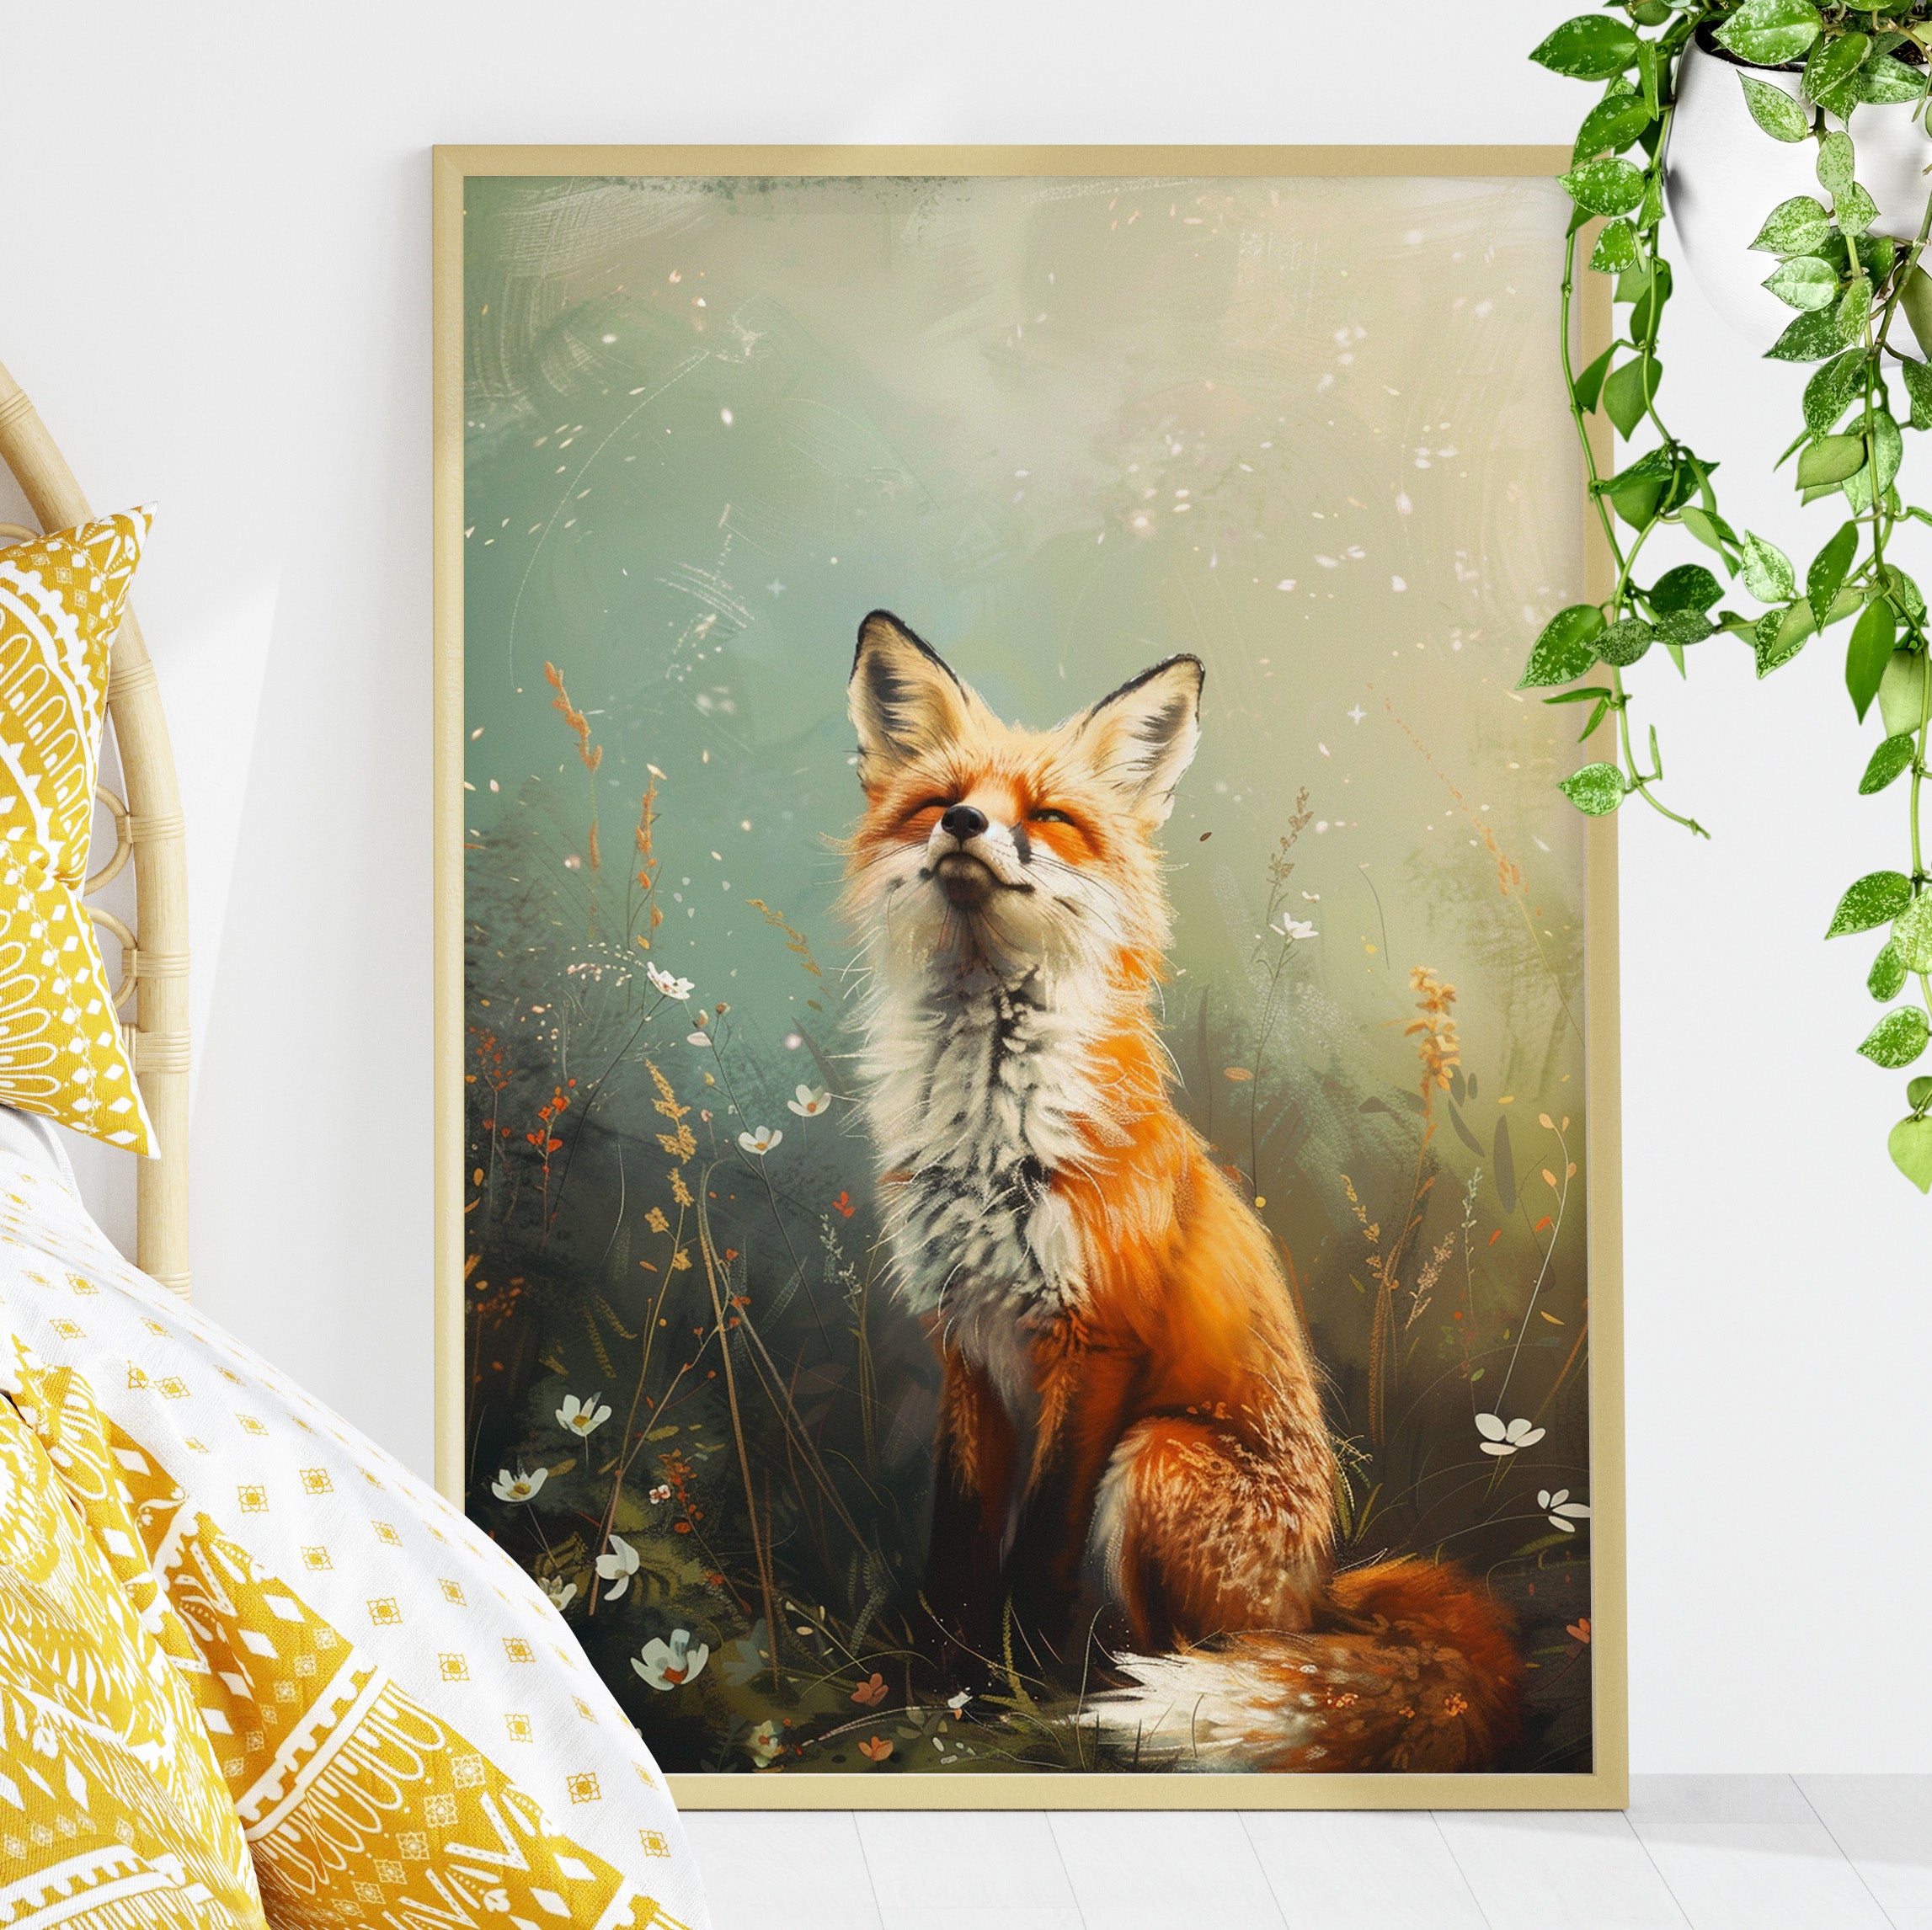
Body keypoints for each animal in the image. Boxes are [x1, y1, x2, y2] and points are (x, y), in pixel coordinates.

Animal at [840, 609, 1523, 1773]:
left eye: (1050, 817)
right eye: (940, 801)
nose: (967, 826)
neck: (989, 1124)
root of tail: (1318, 1597)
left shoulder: (1096, 1339)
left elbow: (1036, 1551)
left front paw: (1015, 1692)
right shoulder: (963, 1339)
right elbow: (958, 1539)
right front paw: (941, 1683)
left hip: (1157, 1455)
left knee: (1203, 1654)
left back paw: (1136, 1697)